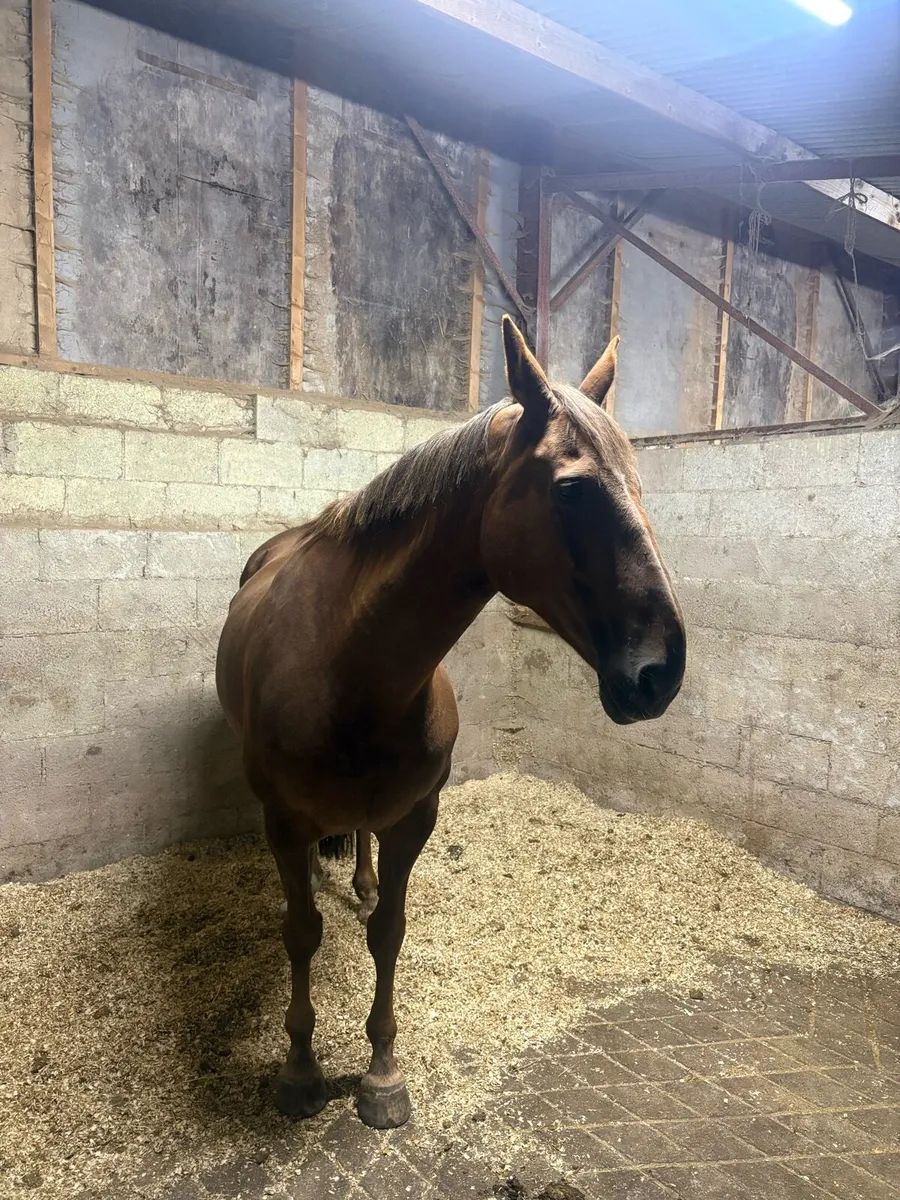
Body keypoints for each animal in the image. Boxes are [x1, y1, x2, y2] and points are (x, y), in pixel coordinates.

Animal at [215, 317, 686, 1129]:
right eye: (571, 488)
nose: (663, 669)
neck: (351, 665)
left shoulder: (416, 818)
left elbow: (390, 933)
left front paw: (381, 1072)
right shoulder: (283, 823)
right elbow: (301, 933)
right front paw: (301, 1071)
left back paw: (364, 883)